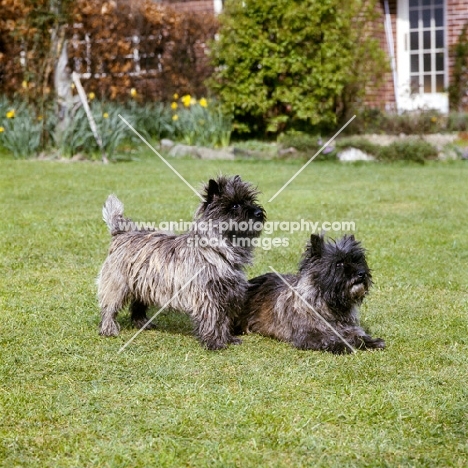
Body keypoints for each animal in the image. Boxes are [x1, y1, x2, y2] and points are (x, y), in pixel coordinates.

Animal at [97, 176, 266, 352]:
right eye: (234, 205)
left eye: (251, 200)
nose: (259, 213)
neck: (218, 250)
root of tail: (122, 233)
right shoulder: (207, 295)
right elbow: (213, 318)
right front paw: (215, 342)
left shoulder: (228, 293)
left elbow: (224, 318)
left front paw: (228, 339)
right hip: (118, 283)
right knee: (109, 306)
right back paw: (109, 329)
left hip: (142, 283)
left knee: (138, 304)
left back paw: (142, 323)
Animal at [239, 236, 386, 352]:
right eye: (339, 263)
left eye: (357, 260)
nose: (362, 273)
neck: (329, 305)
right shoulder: (308, 334)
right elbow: (326, 339)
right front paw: (341, 345)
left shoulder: (348, 328)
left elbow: (358, 334)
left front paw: (371, 342)